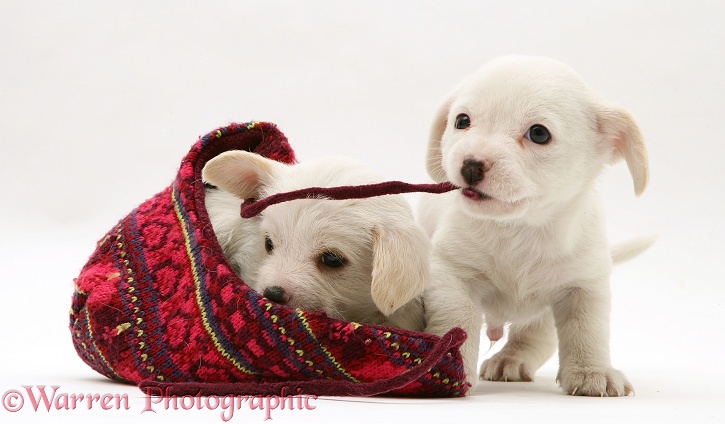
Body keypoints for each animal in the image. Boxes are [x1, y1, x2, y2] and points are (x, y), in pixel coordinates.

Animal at [418, 54, 652, 396]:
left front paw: (592, 370)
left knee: (535, 336)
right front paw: (447, 368)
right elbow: (458, 321)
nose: (471, 165)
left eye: (539, 133)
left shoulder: (584, 285)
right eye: (462, 121)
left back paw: (511, 358)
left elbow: (587, 331)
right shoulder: (452, 275)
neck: (519, 229)